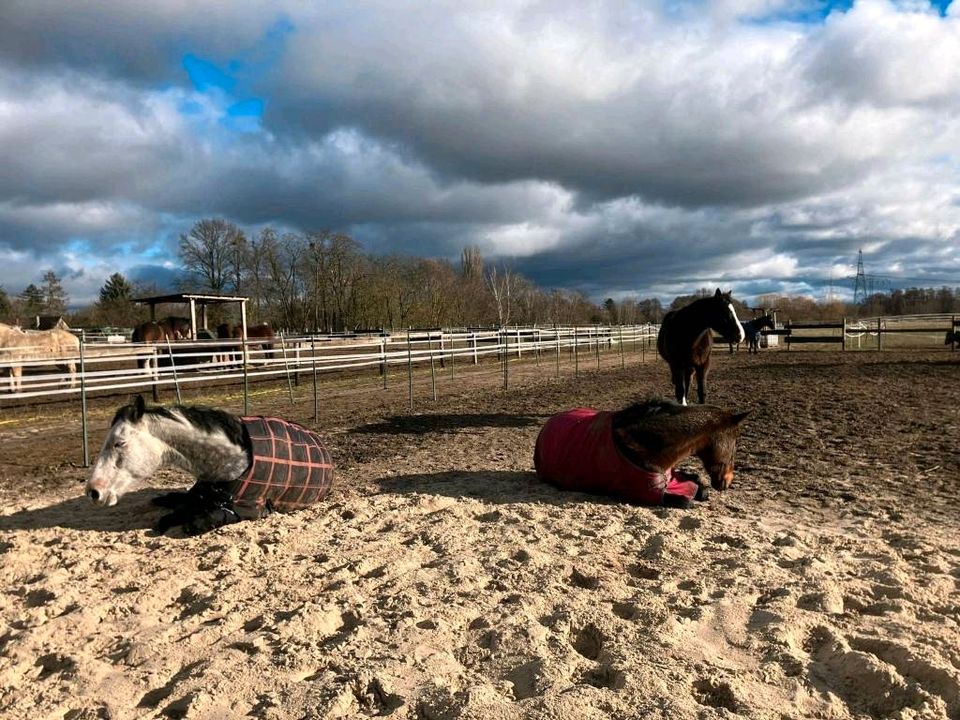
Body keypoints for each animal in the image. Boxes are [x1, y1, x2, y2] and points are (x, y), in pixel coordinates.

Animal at [532, 396, 752, 510]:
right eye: (735, 444)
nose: (727, 482)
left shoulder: (671, 477)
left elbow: (699, 485)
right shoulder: (646, 493)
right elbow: (686, 500)